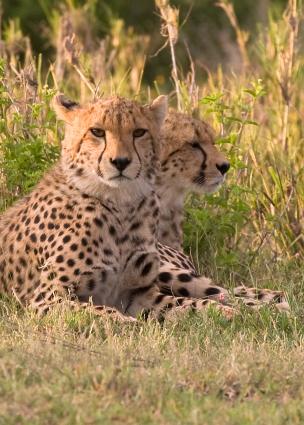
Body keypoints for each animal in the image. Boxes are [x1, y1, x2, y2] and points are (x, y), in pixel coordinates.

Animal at [0, 95, 235, 322]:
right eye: (97, 132)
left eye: (139, 132)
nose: (120, 161)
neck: (120, 203)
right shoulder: (46, 298)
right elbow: (100, 312)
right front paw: (129, 323)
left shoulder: (140, 293)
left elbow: (182, 304)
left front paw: (220, 311)